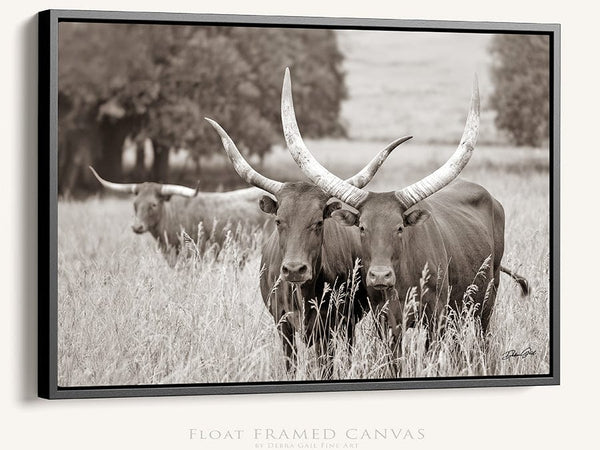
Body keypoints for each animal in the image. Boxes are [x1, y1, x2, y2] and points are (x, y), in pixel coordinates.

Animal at [280, 67, 524, 348]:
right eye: (362, 228)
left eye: (399, 228)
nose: (379, 276)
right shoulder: (386, 323)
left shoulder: (436, 318)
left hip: (486, 299)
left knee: (483, 336)